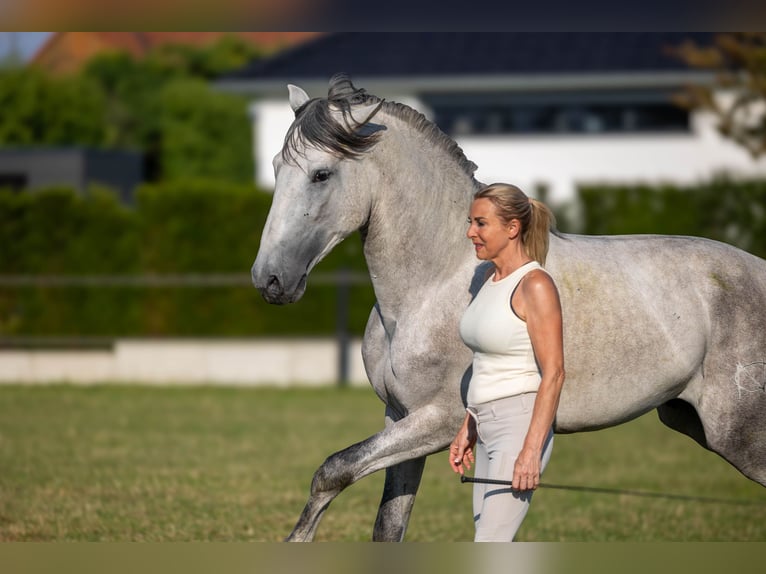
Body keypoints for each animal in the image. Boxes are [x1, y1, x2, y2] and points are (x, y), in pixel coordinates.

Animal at [251, 74, 766, 542]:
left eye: (321, 173)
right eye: (276, 166)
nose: (268, 279)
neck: (435, 283)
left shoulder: (438, 421)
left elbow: (332, 470)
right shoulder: (400, 419)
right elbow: (387, 524)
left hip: (741, 436)